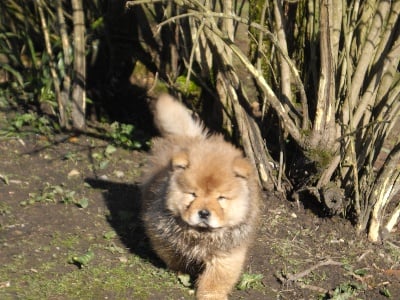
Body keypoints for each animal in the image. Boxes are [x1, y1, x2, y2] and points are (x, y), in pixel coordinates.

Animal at [141, 94, 262, 300]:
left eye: (221, 198)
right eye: (193, 194)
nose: (204, 213)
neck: (201, 235)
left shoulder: (227, 253)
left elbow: (217, 277)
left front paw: (211, 295)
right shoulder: (160, 234)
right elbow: (173, 255)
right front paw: (182, 270)